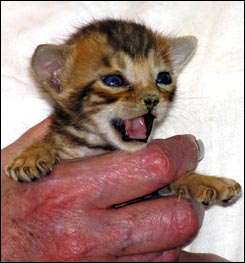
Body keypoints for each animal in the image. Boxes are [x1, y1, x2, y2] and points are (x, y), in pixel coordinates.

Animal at [5, 20, 241, 206]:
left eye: (163, 78)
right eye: (113, 81)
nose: (152, 99)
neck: (101, 147)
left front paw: (201, 180)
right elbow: (50, 141)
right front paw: (32, 155)